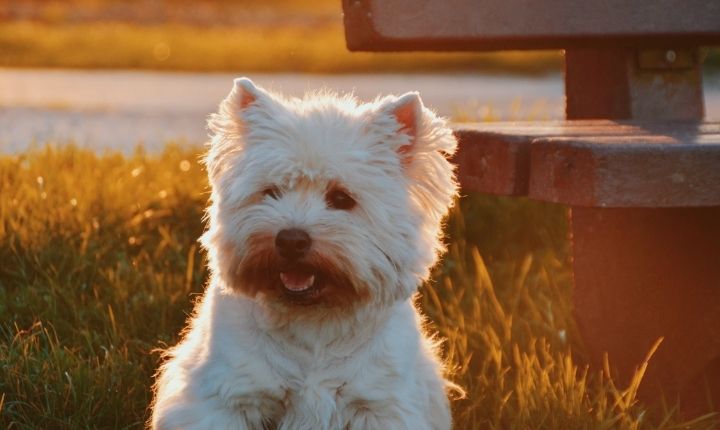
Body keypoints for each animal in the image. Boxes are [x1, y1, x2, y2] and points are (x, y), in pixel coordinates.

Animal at [149, 78, 458, 430]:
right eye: (271, 192)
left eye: (342, 198)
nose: (290, 240)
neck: (313, 322)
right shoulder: (228, 397)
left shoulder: (381, 404)